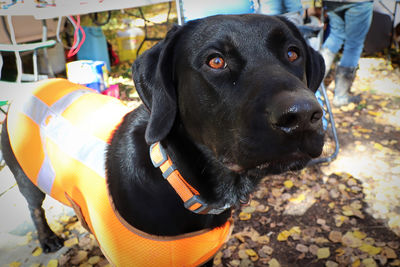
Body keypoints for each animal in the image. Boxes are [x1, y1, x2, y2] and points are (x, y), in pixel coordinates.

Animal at [2, 15, 324, 267]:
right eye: (216, 61)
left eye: (293, 53)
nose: (303, 115)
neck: (181, 183)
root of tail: (31, 86)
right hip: (26, 178)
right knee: (35, 208)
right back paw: (47, 239)